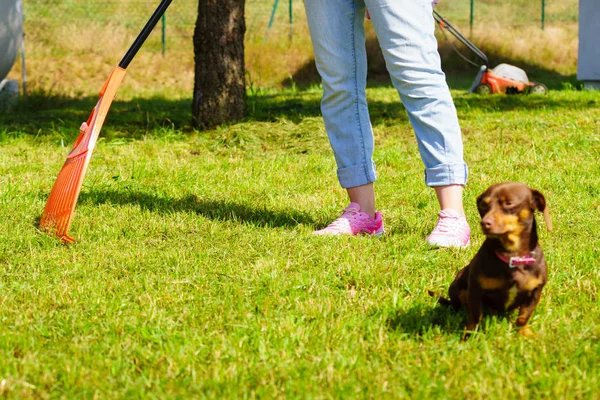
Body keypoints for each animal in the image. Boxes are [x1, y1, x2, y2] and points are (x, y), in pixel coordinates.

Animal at [432, 183, 552, 340]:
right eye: (484, 204)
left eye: (509, 203)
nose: (484, 223)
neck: (512, 256)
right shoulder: (475, 290)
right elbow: (475, 316)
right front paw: (470, 335)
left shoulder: (535, 292)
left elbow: (523, 316)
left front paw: (524, 332)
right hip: (457, 287)